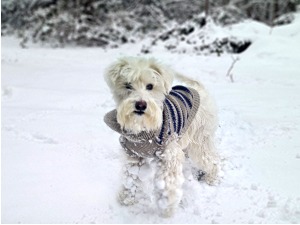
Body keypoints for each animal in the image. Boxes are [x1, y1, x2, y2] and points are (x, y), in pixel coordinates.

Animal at [104, 55, 219, 216]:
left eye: (150, 86)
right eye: (127, 85)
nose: (140, 105)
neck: (143, 130)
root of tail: (199, 88)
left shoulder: (169, 154)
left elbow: (167, 181)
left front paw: (167, 205)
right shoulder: (133, 155)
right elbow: (131, 176)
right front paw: (127, 198)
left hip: (200, 140)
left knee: (212, 159)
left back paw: (211, 178)